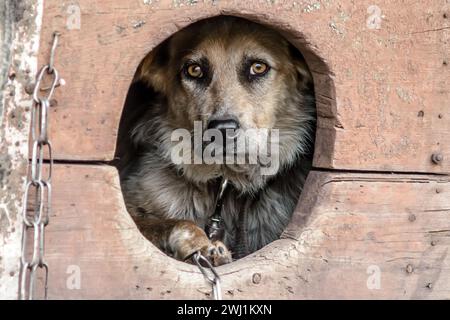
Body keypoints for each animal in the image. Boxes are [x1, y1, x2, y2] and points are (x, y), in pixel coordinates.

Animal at [119, 16, 316, 266]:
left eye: (258, 67)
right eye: (194, 70)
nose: (222, 130)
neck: (225, 182)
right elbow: (173, 224)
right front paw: (202, 246)